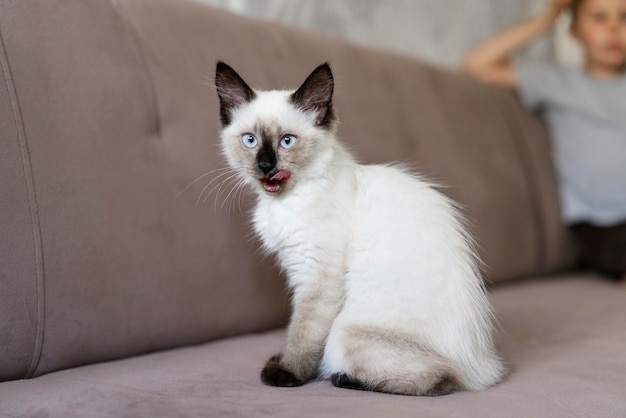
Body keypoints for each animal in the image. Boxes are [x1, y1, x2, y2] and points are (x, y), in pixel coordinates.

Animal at [213, 61, 502, 396]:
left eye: (287, 141)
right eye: (250, 140)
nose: (265, 166)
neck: (284, 201)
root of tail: (482, 369)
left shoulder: (317, 277)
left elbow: (302, 333)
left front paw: (287, 373)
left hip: (345, 333)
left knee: (441, 380)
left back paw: (344, 378)